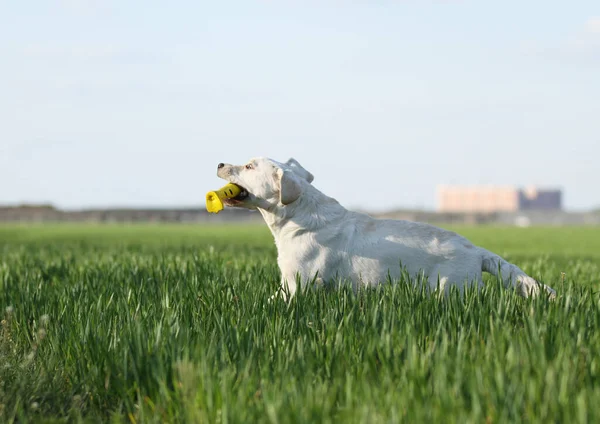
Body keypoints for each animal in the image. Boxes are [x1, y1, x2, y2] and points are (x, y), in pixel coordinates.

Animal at [214, 157, 552, 300]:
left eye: (249, 166)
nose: (219, 163)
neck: (297, 216)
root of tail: (477, 250)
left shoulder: (299, 283)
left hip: (451, 289)